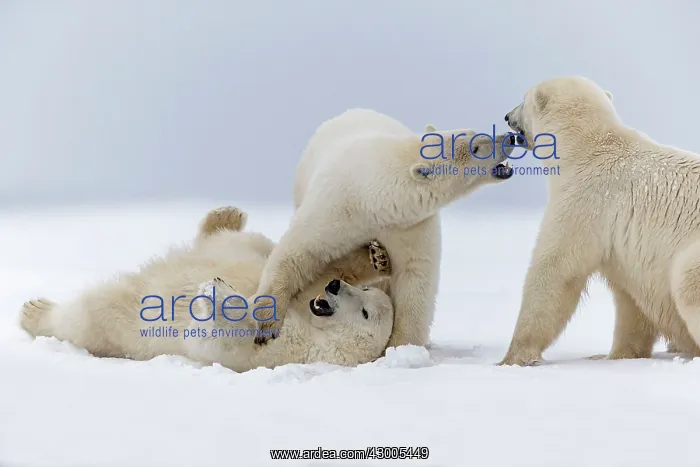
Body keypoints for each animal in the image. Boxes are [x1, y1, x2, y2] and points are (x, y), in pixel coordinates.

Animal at [19, 206, 396, 371]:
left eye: (366, 312)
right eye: (358, 292)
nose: (334, 288)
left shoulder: (288, 350)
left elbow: (215, 337)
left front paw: (216, 291)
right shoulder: (302, 299)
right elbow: (299, 274)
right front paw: (374, 257)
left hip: (117, 322)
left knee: (87, 316)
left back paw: (33, 311)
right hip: (247, 247)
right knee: (245, 243)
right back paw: (228, 215)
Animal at [249, 108, 517, 347]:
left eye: (476, 134)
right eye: (476, 146)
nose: (510, 137)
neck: (374, 199)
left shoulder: (410, 224)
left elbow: (415, 277)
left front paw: (402, 346)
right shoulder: (336, 208)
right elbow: (298, 251)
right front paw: (266, 325)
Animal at [499, 76, 700, 366]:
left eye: (522, 100)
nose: (507, 116)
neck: (590, 147)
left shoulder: (585, 200)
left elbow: (555, 271)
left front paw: (514, 356)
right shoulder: (627, 252)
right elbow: (631, 302)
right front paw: (615, 355)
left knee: (686, 284)